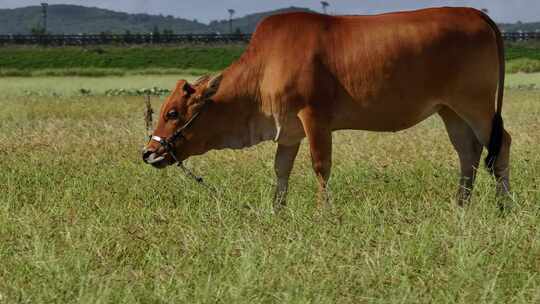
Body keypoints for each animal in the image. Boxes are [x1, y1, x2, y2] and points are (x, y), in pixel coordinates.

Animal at [142, 8, 510, 210]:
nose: (148, 152)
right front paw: (277, 210)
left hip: (475, 103)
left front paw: (323, 211)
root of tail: (476, 12)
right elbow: (281, 171)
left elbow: (321, 166)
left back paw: (503, 205)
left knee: (500, 143)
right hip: (449, 110)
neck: (264, 67)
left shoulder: (314, 117)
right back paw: (461, 205)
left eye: (173, 112)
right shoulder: (288, 130)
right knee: (467, 151)